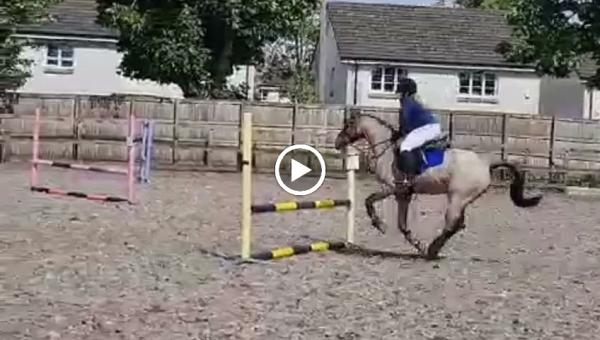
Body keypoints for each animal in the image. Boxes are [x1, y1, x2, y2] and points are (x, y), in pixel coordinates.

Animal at [332, 110, 544, 258]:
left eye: (348, 125)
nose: (337, 143)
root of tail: (486, 164)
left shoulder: (391, 188)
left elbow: (369, 201)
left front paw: (380, 225)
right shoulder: (403, 195)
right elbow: (402, 226)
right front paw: (418, 245)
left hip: (457, 197)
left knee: (452, 224)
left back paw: (433, 250)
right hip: (462, 200)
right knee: (458, 224)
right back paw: (432, 249)